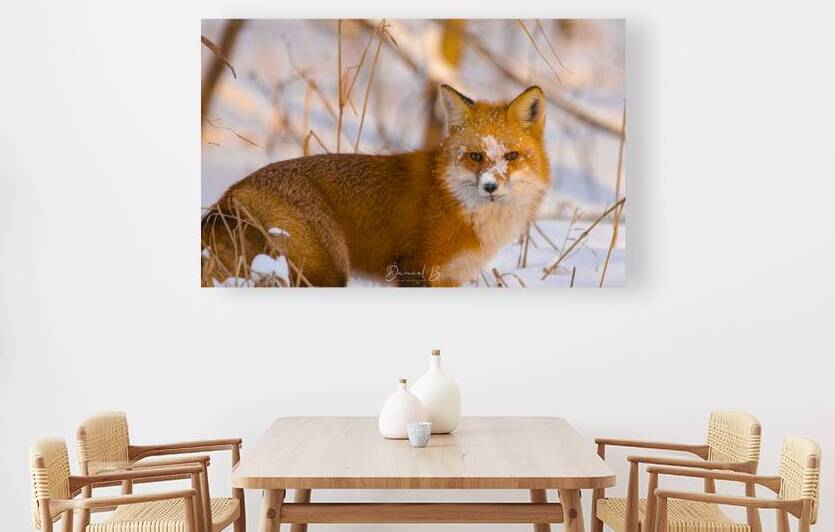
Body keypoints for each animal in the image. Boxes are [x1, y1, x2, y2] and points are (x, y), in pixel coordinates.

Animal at [202, 84, 550, 287]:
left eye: (511, 156)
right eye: (476, 156)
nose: (491, 187)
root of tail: (231, 193)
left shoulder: (451, 278)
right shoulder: (416, 269)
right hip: (328, 268)